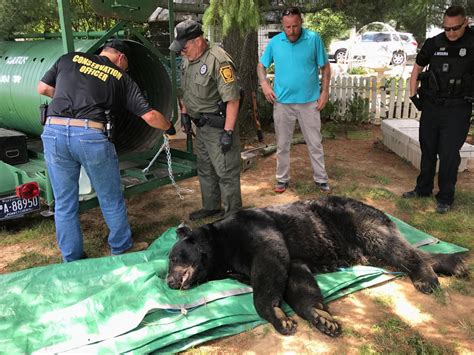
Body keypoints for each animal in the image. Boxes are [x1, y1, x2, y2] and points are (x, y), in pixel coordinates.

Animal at [166, 196, 466, 338]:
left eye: (174, 257)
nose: (169, 281)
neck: (221, 250)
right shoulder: (260, 266)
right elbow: (294, 278)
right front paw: (322, 318)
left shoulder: (254, 231)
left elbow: (269, 263)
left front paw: (279, 317)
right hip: (361, 251)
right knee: (395, 252)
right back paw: (454, 264)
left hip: (357, 221)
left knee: (392, 246)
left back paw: (426, 278)